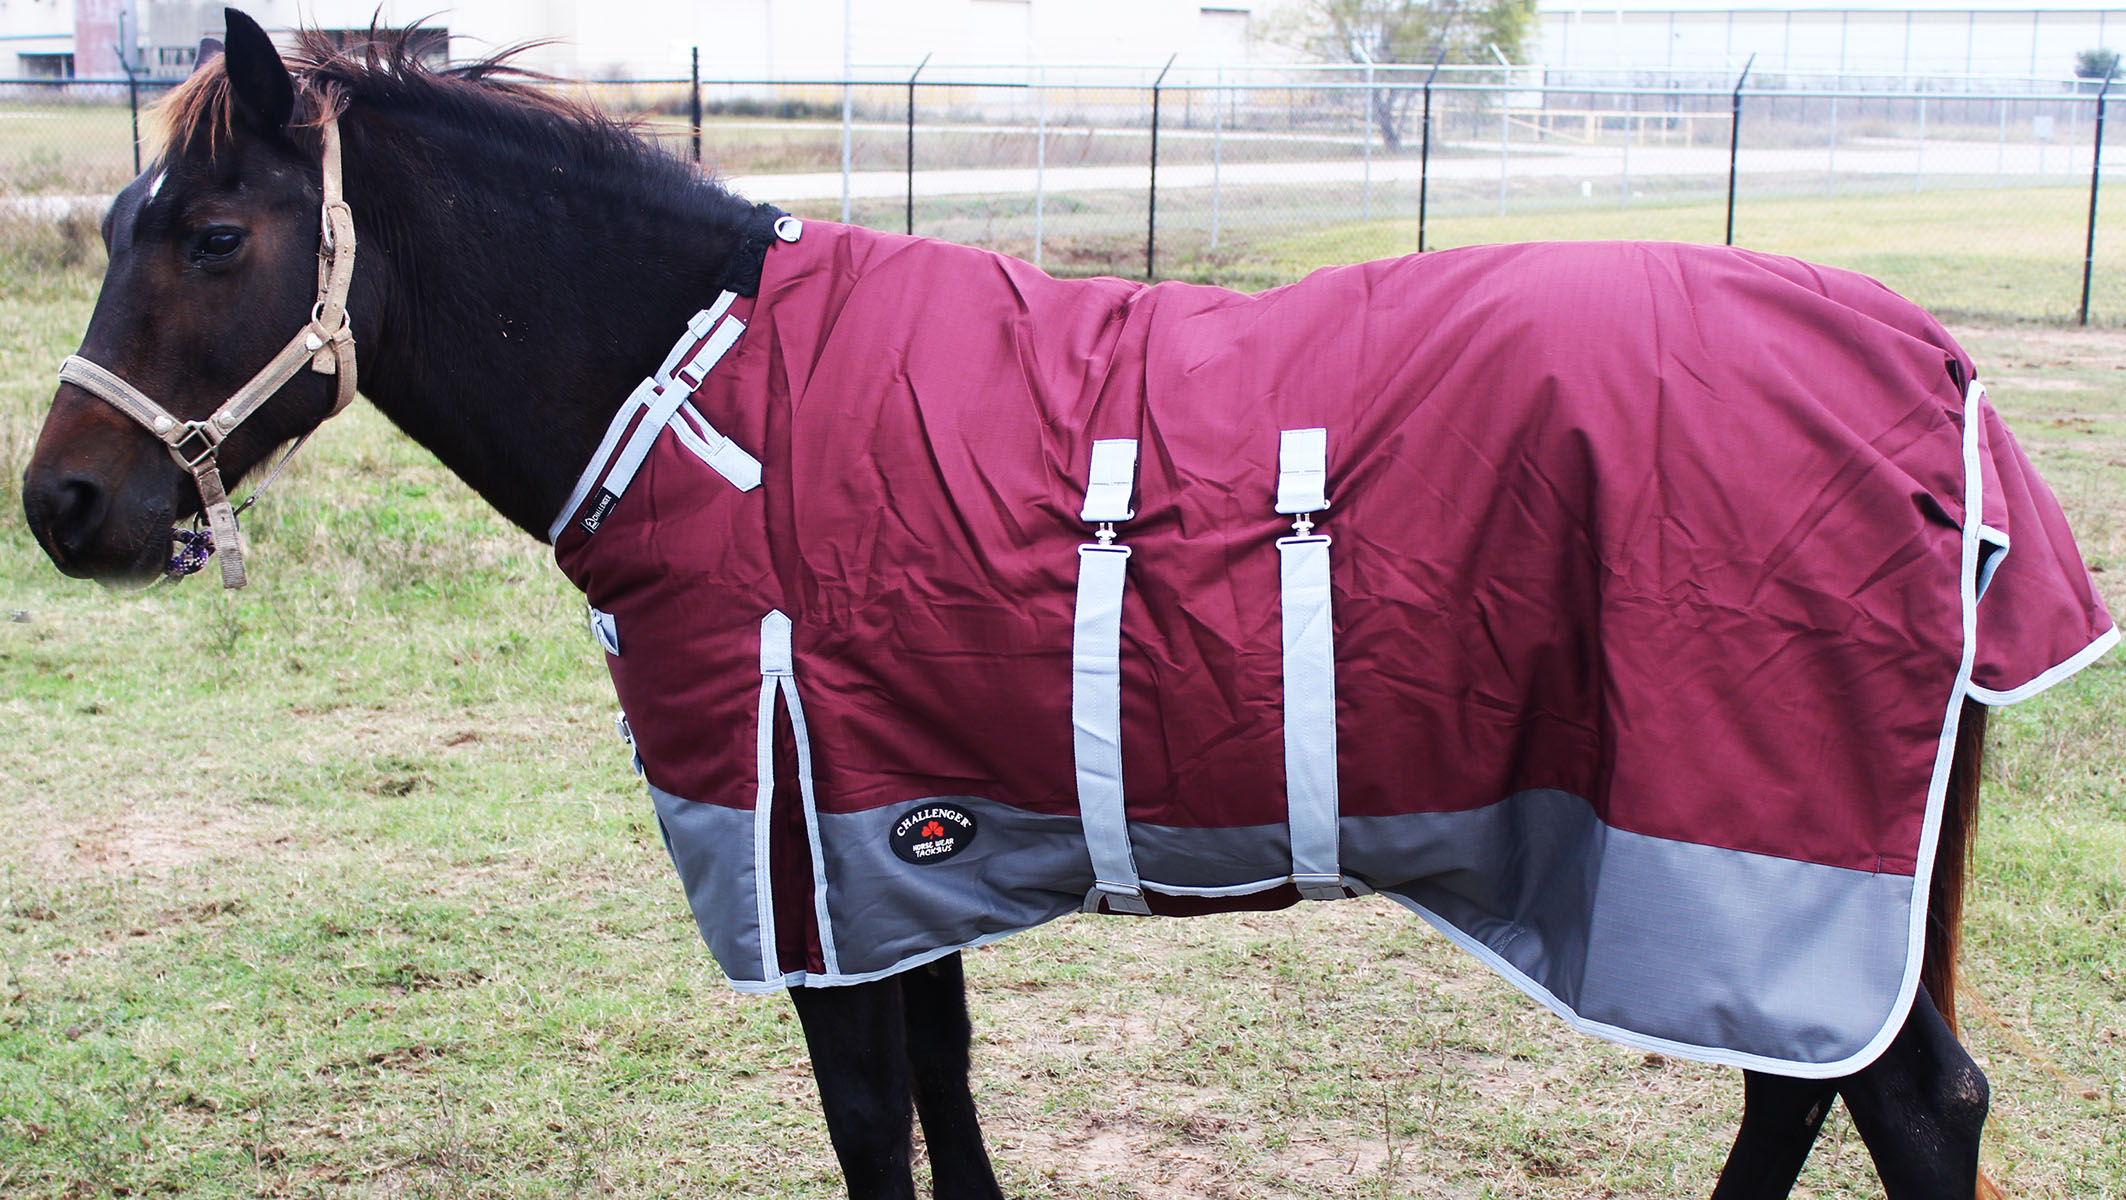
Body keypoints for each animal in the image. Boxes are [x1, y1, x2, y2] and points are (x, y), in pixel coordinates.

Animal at [21, 12, 2116, 1199]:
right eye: (118, 227)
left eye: (212, 234)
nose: (65, 505)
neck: (712, 403)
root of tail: (1940, 381)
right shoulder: (891, 855)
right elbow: (947, 1113)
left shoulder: (812, 873)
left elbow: (878, 1130)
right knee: (1810, 1099)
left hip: (1757, 853)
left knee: (1907, 1109)